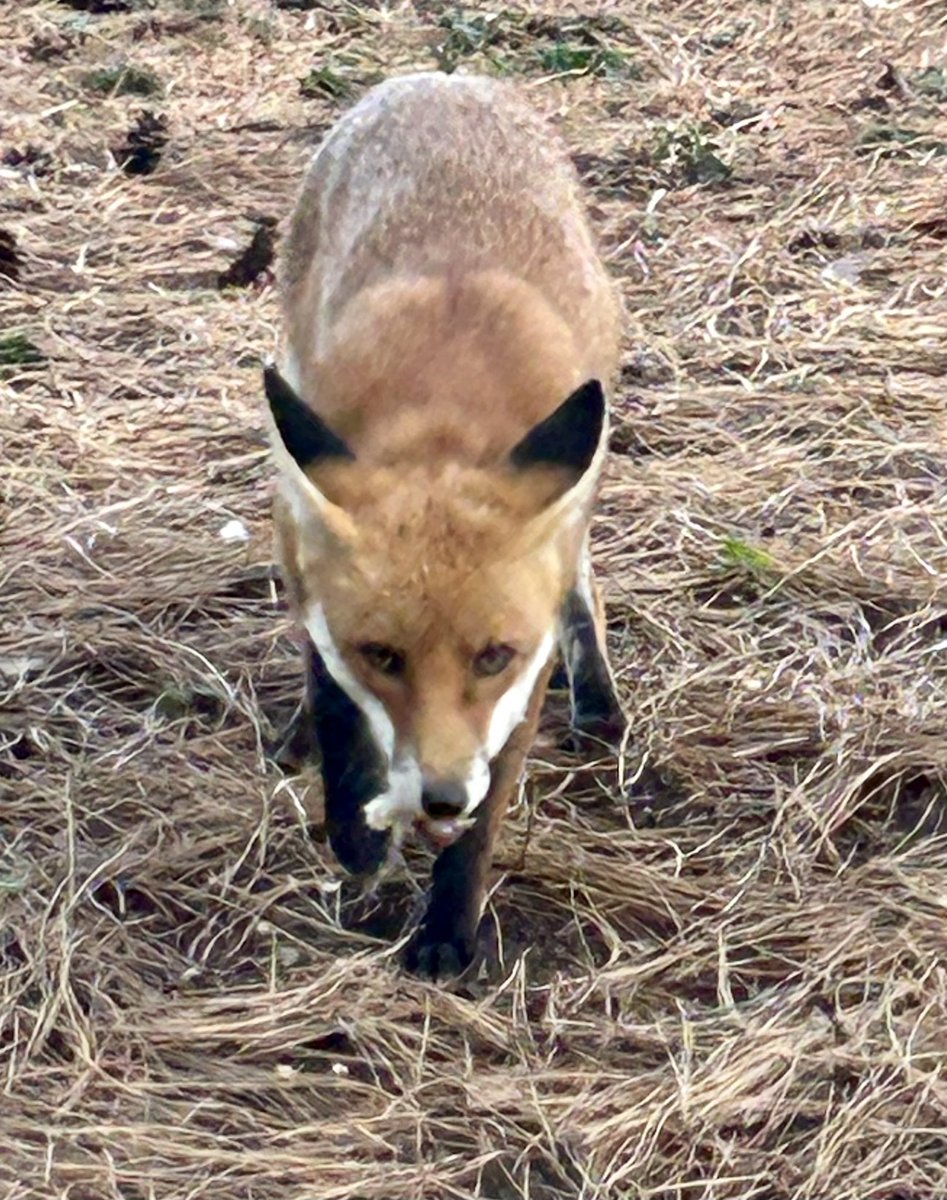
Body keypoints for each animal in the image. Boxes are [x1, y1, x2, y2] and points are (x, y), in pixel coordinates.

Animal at [265, 71, 626, 979]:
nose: (437, 796)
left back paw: (598, 697)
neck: (443, 417)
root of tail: (444, 81)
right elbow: (334, 705)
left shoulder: (520, 676)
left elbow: (489, 813)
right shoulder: (305, 569)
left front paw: (447, 928)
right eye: (382, 655)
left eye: (492, 656)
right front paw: (356, 836)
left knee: (581, 583)